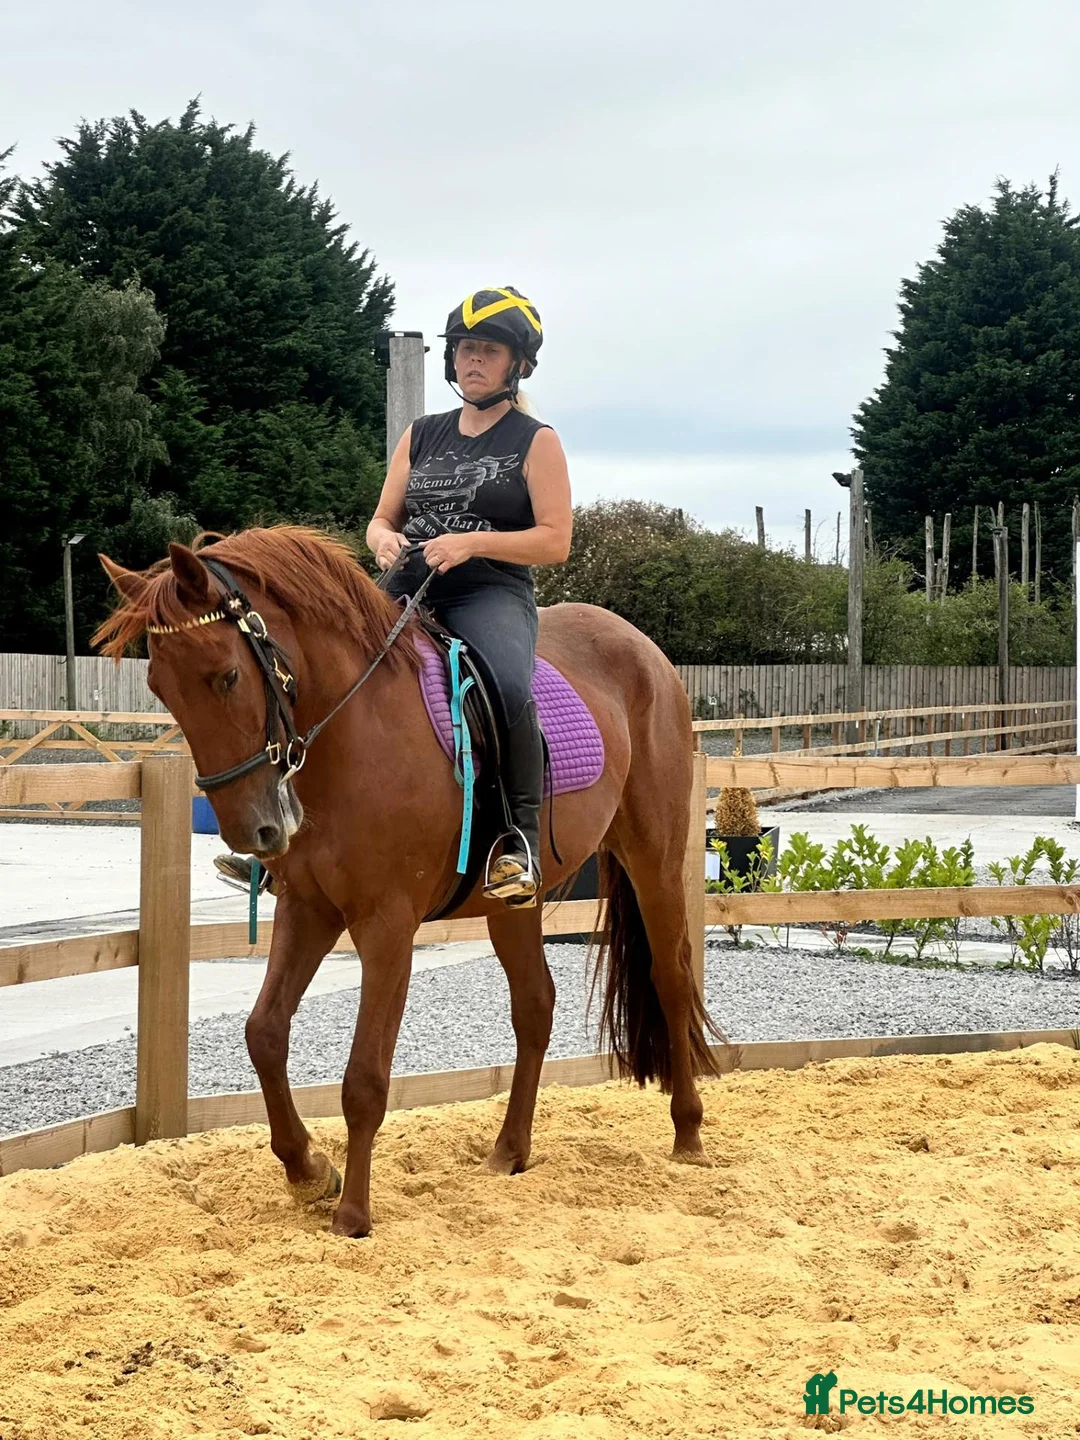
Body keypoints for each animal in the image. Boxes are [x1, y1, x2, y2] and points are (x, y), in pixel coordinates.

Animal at [95, 526, 723, 1238]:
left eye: (226, 676)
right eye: (160, 687)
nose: (253, 832)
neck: (353, 731)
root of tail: (644, 649)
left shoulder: (387, 926)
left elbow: (365, 1078)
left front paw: (352, 1215)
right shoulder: (308, 910)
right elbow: (264, 1033)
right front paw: (308, 1171)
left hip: (654, 858)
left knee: (671, 979)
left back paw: (688, 1136)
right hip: (513, 903)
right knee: (535, 1006)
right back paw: (509, 1152)